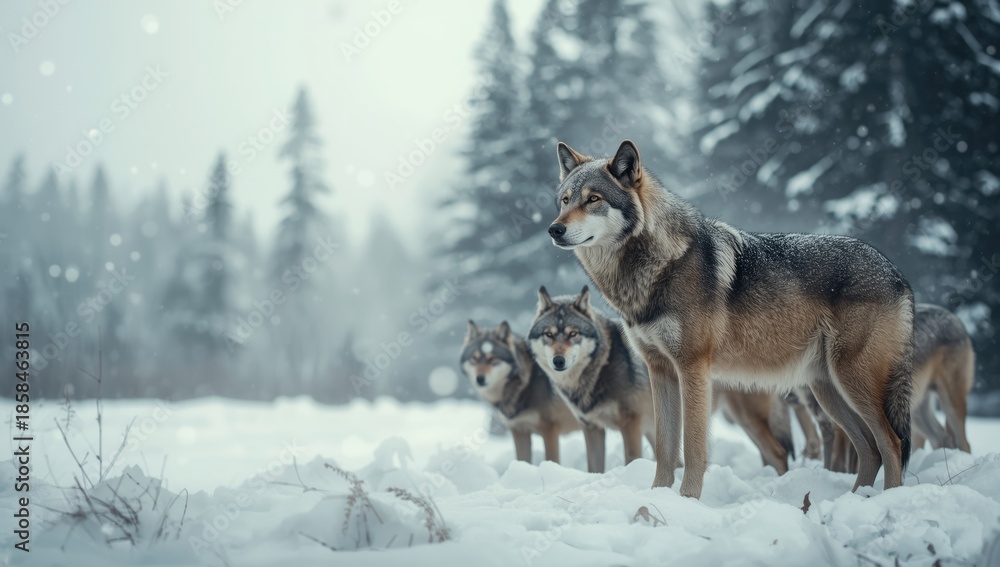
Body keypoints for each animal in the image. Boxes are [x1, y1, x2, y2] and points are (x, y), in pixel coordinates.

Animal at [461, 321, 580, 463]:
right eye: (474, 359)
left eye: (493, 359)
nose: (480, 379)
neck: (526, 384)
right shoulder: (519, 431)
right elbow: (522, 460)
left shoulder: (549, 430)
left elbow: (552, 459)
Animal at [547, 139, 914, 498]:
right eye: (564, 201)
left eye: (593, 199)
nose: (554, 229)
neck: (657, 266)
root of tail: (897, 272)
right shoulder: (659, 371)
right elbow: (665, 448)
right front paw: (657, 497)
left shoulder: (693, 368)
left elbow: (693, 448)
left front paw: (687, 500)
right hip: (827, 390)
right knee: (869, 448)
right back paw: (855, 500)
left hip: (850, 381)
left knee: (891, 443)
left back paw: (888, 501)